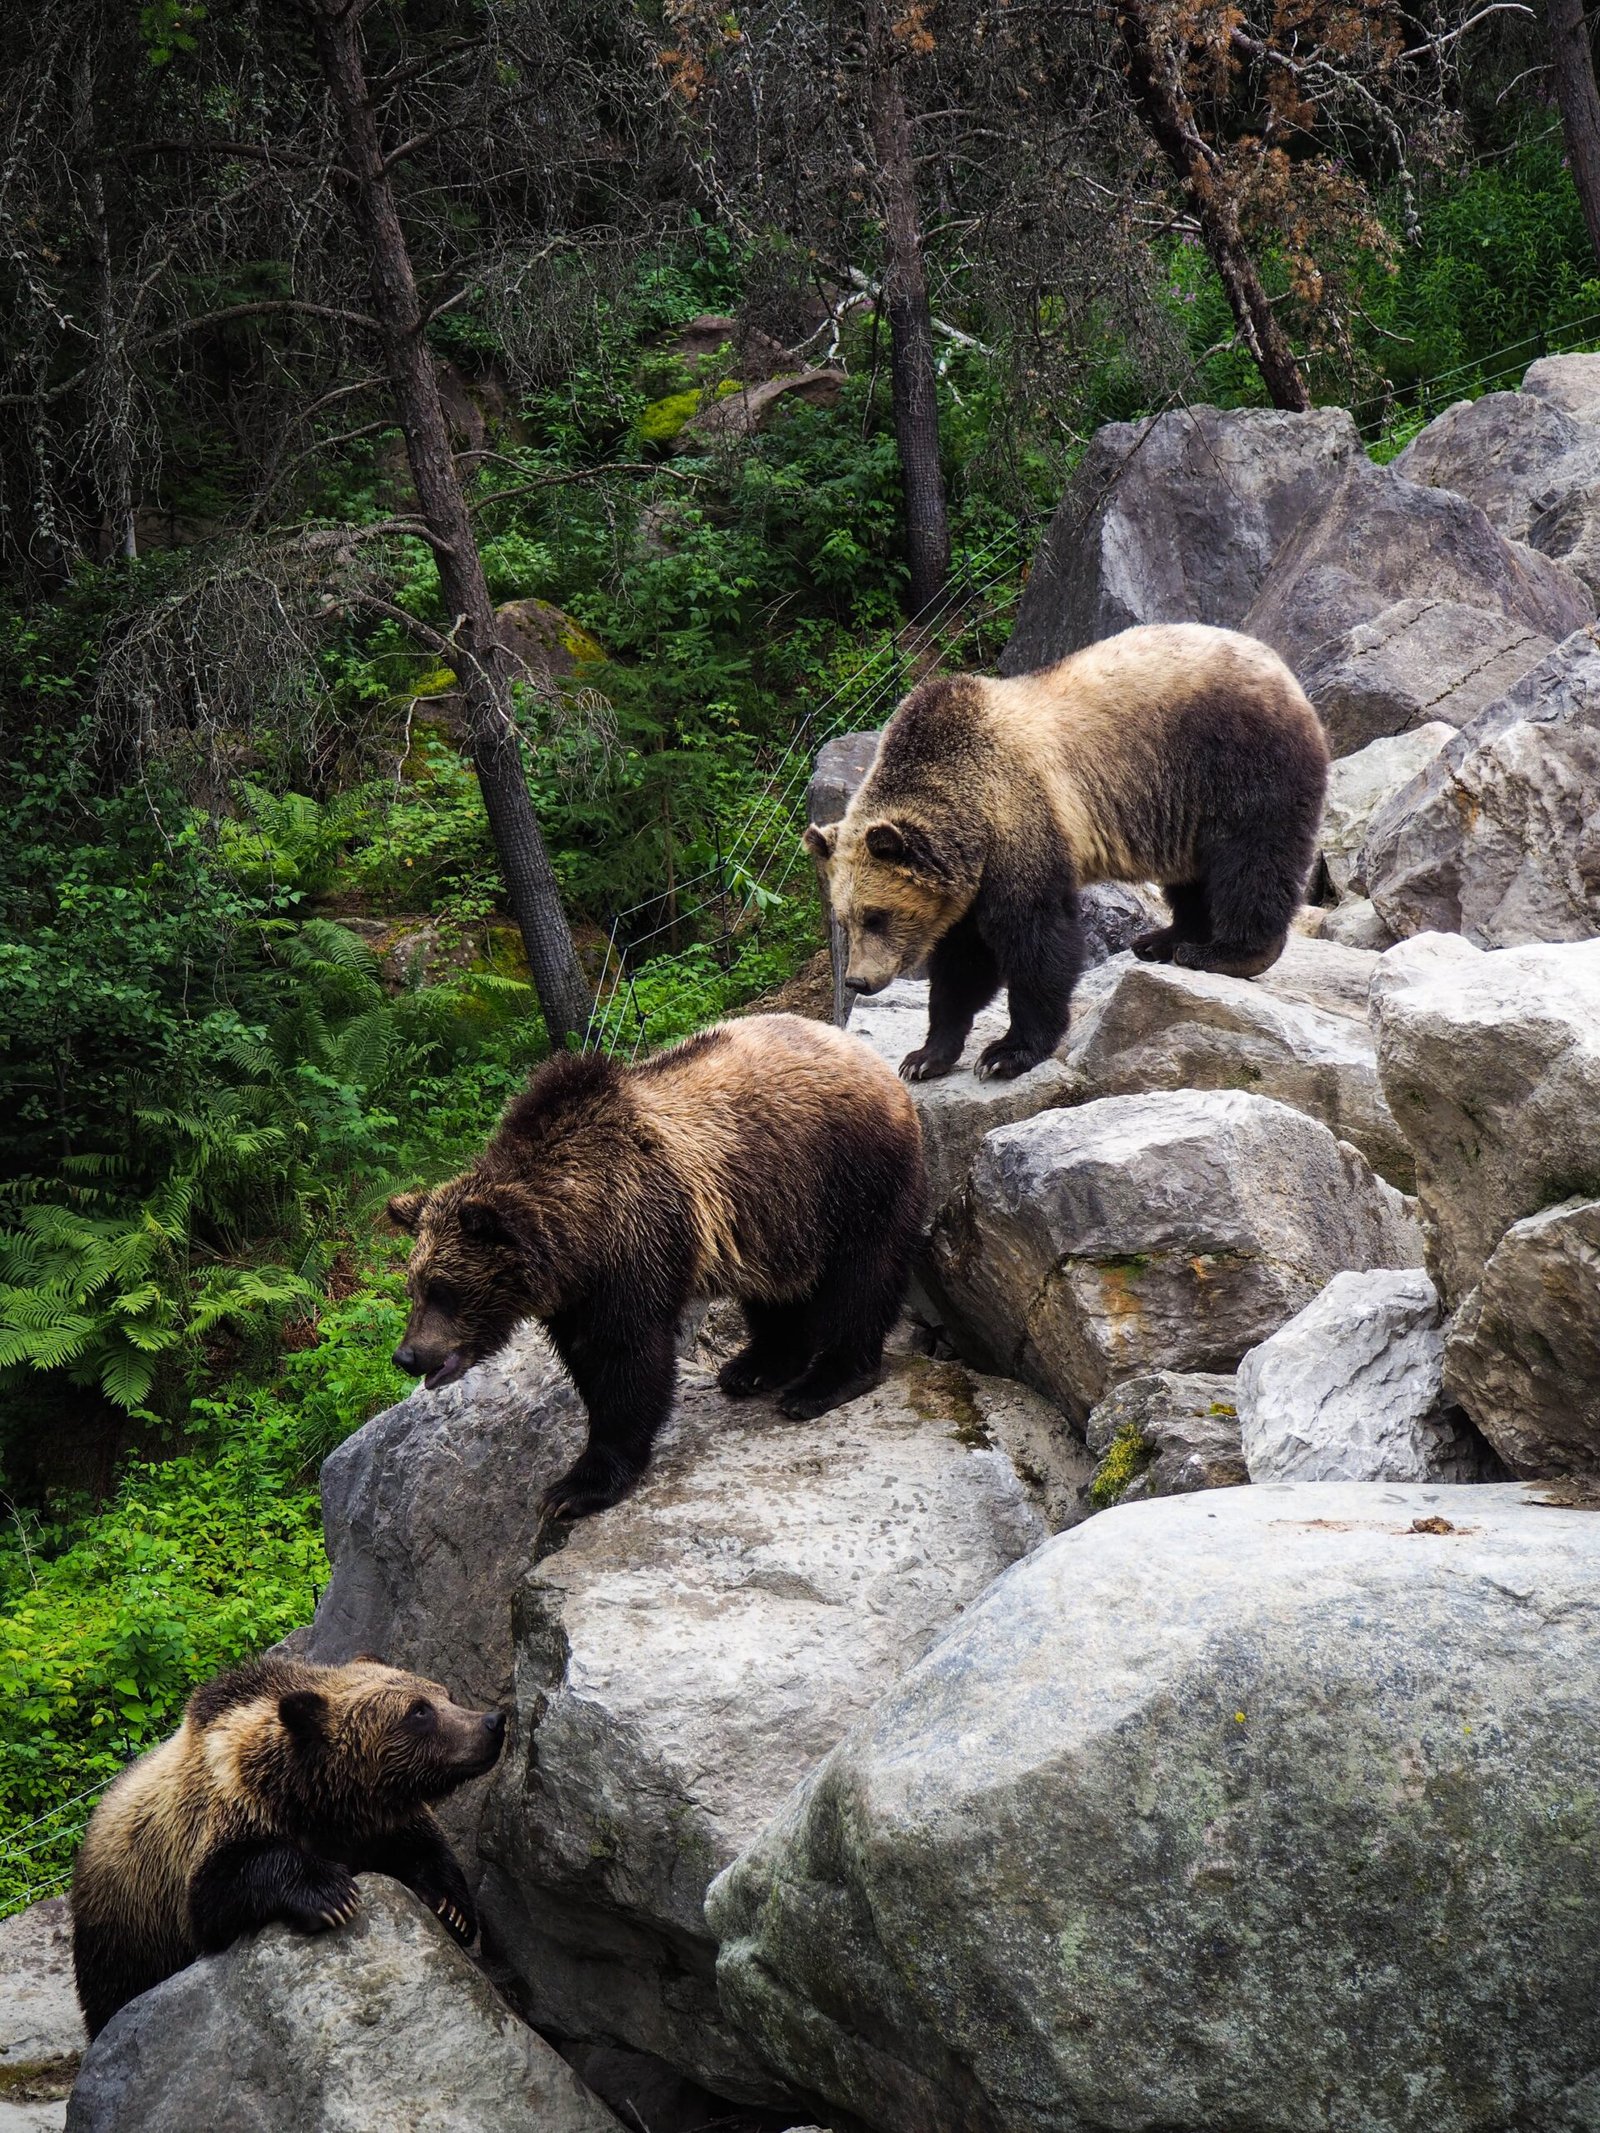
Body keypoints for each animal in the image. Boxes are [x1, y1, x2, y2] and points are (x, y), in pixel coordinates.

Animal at [70, 1646, 501, 2030]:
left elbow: (425, 1847)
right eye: (418, 1710)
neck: (315, 1800)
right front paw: (333, 1894)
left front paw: (453, 1908)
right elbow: (220, 1888)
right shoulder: (221, 1821)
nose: (493, 1722)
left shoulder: (376, 1825)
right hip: (127, 1928)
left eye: (445, 1694)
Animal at [386, 1011, 925, 1518]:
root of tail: (868, 1057)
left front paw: (577, 1487)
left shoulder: (636, 1243)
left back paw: (822, 1383)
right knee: (777, 1290)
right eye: (413, 1288)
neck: (578, 1233)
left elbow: (628, 1362)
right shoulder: (578, 1293)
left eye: (443, 1290)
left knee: (862, 1277)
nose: (407, 1356)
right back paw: (755, 1366)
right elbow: (588, 1361)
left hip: (850, 1175)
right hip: (775, 1214)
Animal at [806, 618, 1331, 1083]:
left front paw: (1007, 1053)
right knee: (1193, 875)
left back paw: (1227, 953)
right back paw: (1164, 940)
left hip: (1236, 760)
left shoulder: (1020, 822)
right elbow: (962, 964)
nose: (857, 981)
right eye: (844, 920)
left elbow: (1037, 940)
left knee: (1251, 858)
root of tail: (1277, 664)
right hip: (1181, 803)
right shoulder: (968, 882)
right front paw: (925, 1057)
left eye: (876, 916)